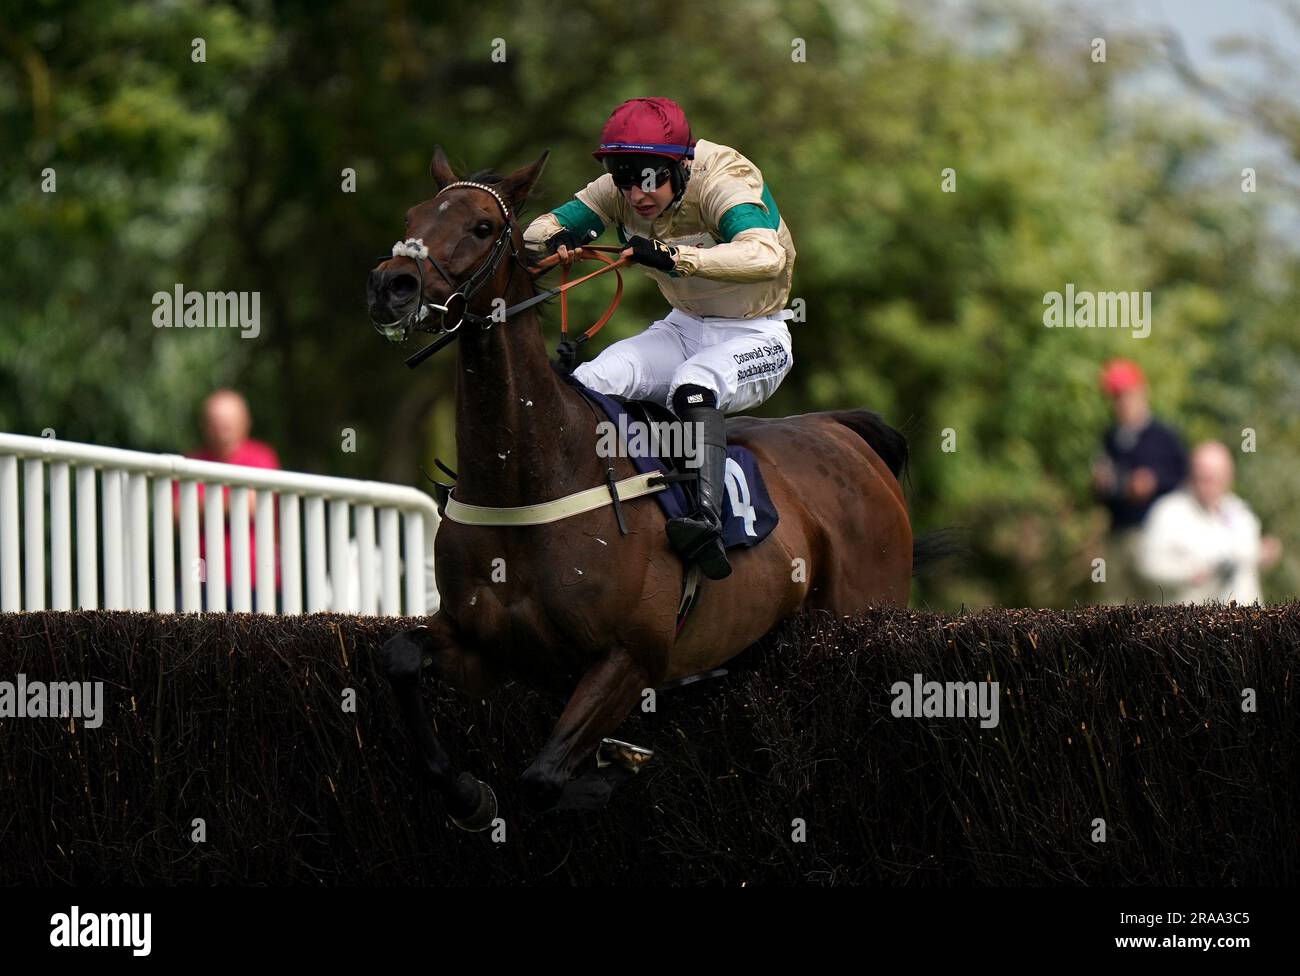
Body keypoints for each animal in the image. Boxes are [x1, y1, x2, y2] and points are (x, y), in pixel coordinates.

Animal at [366, 148, 915, 826]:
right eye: (413, 216)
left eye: (481, 227)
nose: (392, 286)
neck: (526, 481)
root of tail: (841, 432)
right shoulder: (484, 649)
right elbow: (399, 658)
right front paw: (469, 792)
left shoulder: (630, 657)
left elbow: (543, 777)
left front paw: (611, 771)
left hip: (862, 611)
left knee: (697, 392)